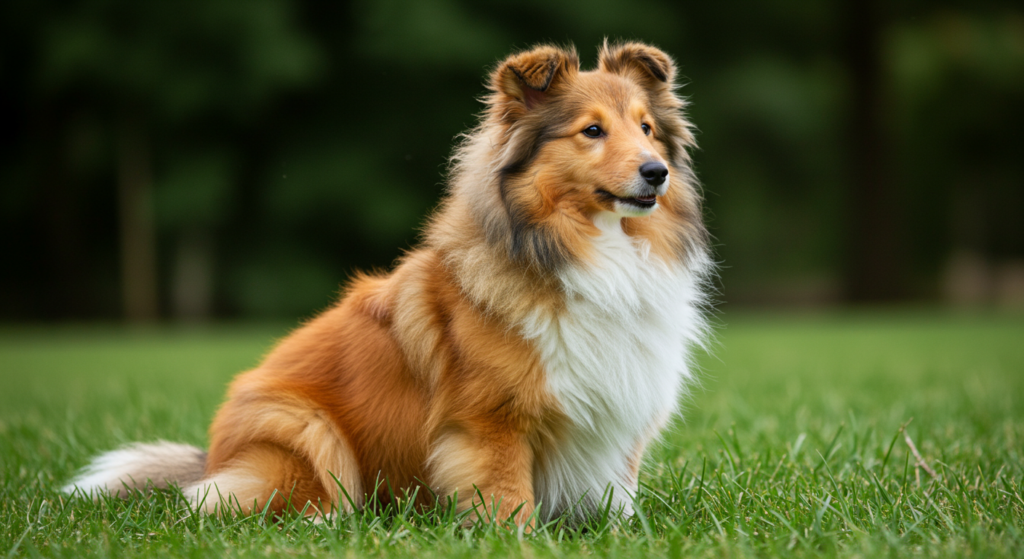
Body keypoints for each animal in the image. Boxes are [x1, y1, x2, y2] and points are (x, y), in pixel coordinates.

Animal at [59, 41, 708, 524]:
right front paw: (518, 540)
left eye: (647, 128)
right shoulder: (489, 423)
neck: (592, 251)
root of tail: (212, 458)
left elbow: (618, 494)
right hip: (304, 428)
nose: (657, 172)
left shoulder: (621, 413)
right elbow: (507, 496)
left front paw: (619, 533)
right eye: (591, 131)